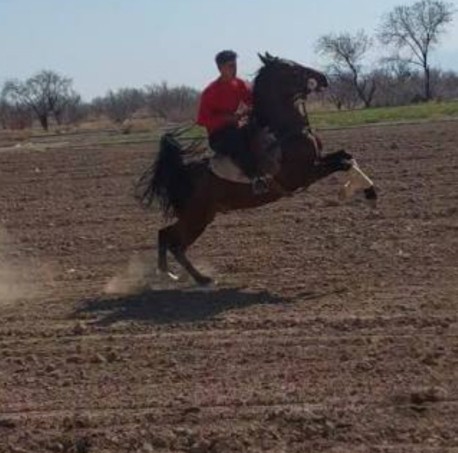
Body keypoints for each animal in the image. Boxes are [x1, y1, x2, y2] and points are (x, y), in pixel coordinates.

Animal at [136, 53, 377, 286]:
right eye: (292, 68)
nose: (323, 77)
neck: (285, 131)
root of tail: (180, 172)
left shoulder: (319, 160)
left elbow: (347, 157)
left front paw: (370, 193)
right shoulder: (305, 174)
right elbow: (344, 163)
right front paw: (353, 193)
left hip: (200, 216)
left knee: (165, 235)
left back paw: (168, 275)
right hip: (196, 217)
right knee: (174, 243)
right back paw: (199, 278)